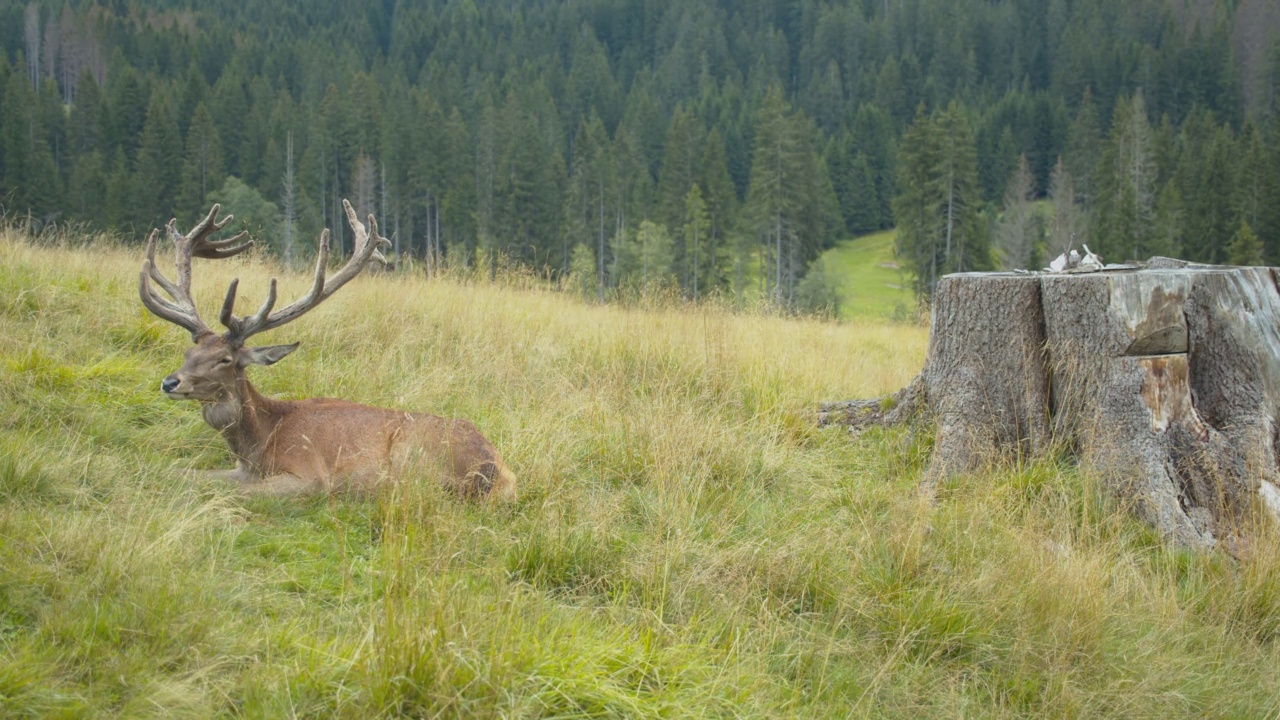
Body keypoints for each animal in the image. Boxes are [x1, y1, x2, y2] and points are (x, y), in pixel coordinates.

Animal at [137, 196, 517, 499]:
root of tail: (498, 471)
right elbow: (180, 472)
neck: (258, 446)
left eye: (225, 359)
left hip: (414, 458)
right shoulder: (240, 469)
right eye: (188, 353)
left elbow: (239, 494)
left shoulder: (309, 475)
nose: (170, 382)